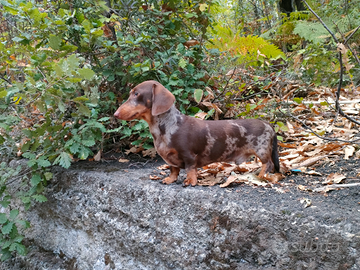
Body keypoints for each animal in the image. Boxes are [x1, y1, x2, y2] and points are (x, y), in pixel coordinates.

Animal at [114, 79, 280, 186]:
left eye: (136, 94)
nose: (115, 114)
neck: (168, 125)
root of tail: (268, 124)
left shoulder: (189, 155)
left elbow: (190, 169)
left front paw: (190, 181)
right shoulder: (170, 160)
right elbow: (173, 170)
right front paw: (170, 179)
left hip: (262, 150)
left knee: (268, 164)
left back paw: (261, 175)